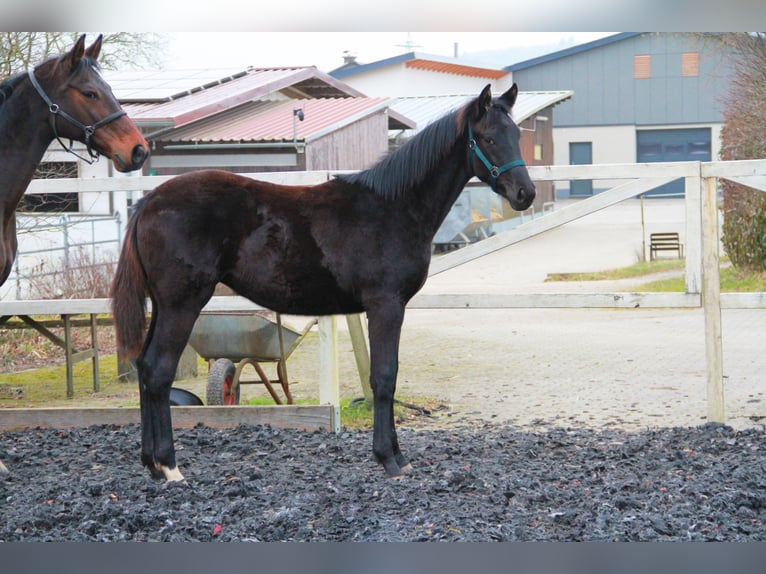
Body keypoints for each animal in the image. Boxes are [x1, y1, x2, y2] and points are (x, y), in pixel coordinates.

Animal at [110, 83, 534, 481]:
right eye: (489, 138)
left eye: (516, 134)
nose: (525, 193)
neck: (395, 207)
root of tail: (147, 203)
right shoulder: (385, 305)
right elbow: (383, 377)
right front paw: (389, 459)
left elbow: (390, 375)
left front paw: (398, 456)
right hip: (182, 304)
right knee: (160, 371)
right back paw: (170, 466)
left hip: (163, 306)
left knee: (145, 368)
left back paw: (151, 464)